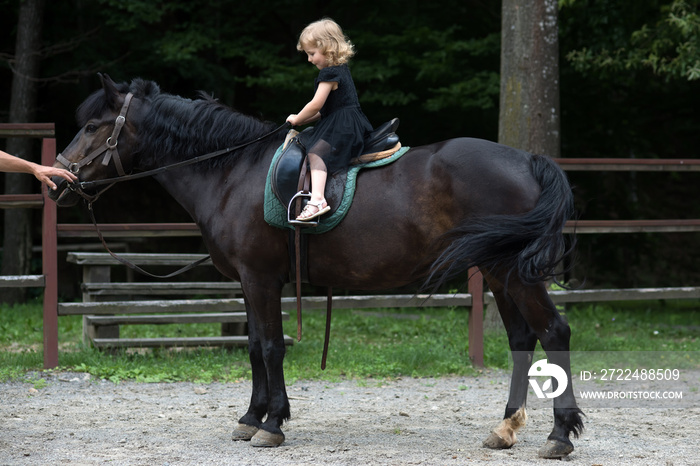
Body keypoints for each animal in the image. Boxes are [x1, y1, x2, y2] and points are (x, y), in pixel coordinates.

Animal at [49, 74, 584, 456]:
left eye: (94, 126)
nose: (57, 181)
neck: (232, 172)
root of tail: (527, 160)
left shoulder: (261, 278)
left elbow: (270, 347)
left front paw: (272, 423)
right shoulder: (250, 282)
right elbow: (253, 348)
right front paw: (251, 418)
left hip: (513, 271)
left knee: (554, 332)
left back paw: (560, 436)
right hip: (496, 271)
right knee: (521, 339)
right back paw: (505, 428)